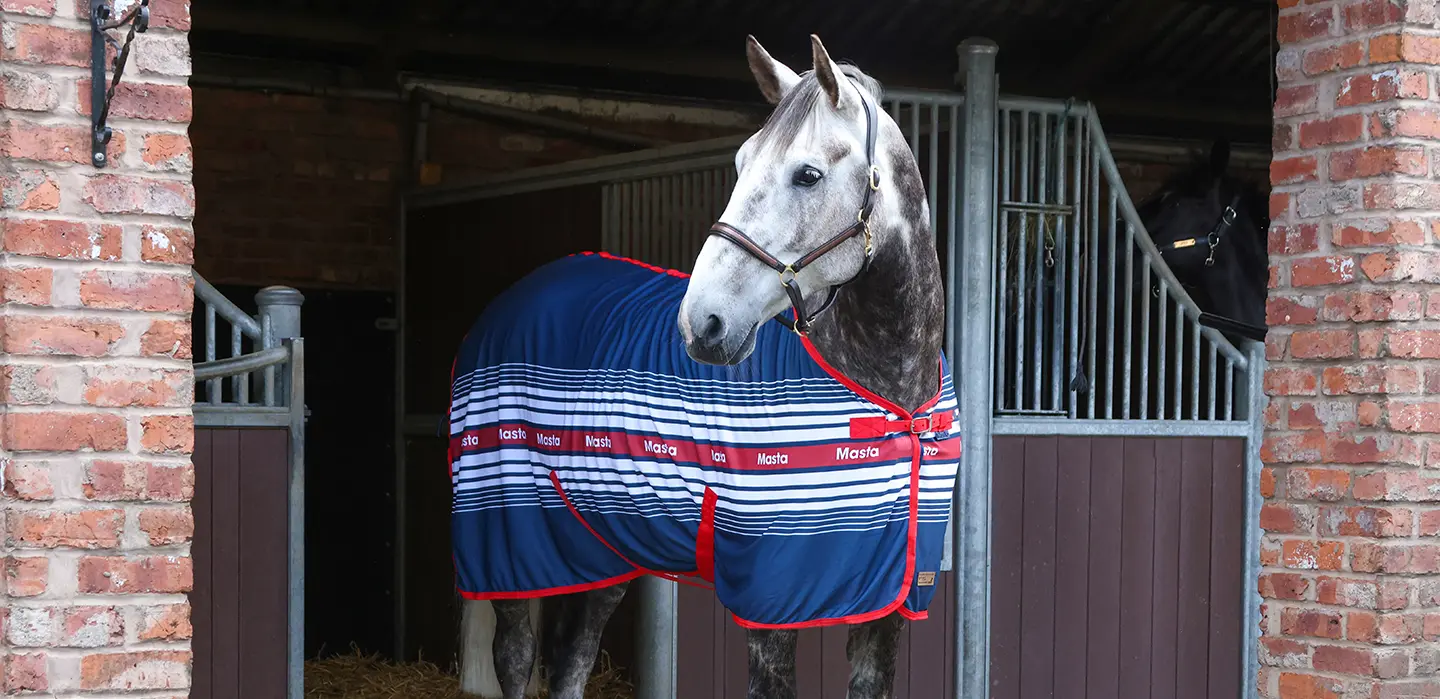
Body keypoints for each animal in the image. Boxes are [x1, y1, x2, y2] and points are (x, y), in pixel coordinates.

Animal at [452, 35, 952, 699]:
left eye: (808, 174)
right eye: (739, 164)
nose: (702, 324)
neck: (891, 399)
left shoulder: (886, 606)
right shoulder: (771, 607)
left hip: (604, 543)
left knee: (573, 657)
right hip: (513, 536)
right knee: (516, 655)